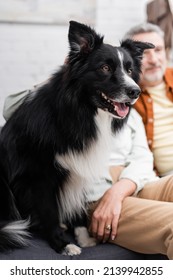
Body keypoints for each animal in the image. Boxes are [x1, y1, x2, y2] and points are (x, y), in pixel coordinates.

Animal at [0, 20, 153, 255]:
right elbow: (49, 212)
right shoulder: (38, 175)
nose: (135, 92)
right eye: (105, 68)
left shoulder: (81, 166)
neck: (80, 111)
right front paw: (63, 244)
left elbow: (78, 207)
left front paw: (84, 237)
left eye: (129, 70)